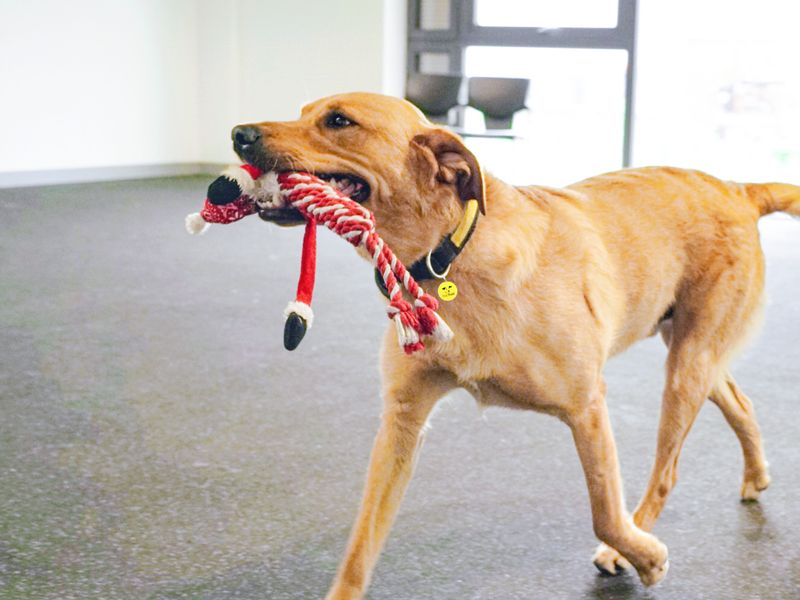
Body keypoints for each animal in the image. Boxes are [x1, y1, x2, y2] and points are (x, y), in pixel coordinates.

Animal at [231, 91, 800, 596]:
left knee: (667, 471)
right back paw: (756, 475)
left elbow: (604, 512)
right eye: (303, 111)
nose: (239, 133)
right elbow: (358, 550)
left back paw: (637, 539)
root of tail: (737, 188)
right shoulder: (402, 421)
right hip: (690, 352)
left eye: (338, 121)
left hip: (686, 365)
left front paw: (644, 555)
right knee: (740, 402)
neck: (449, 256)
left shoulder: (587, 406)